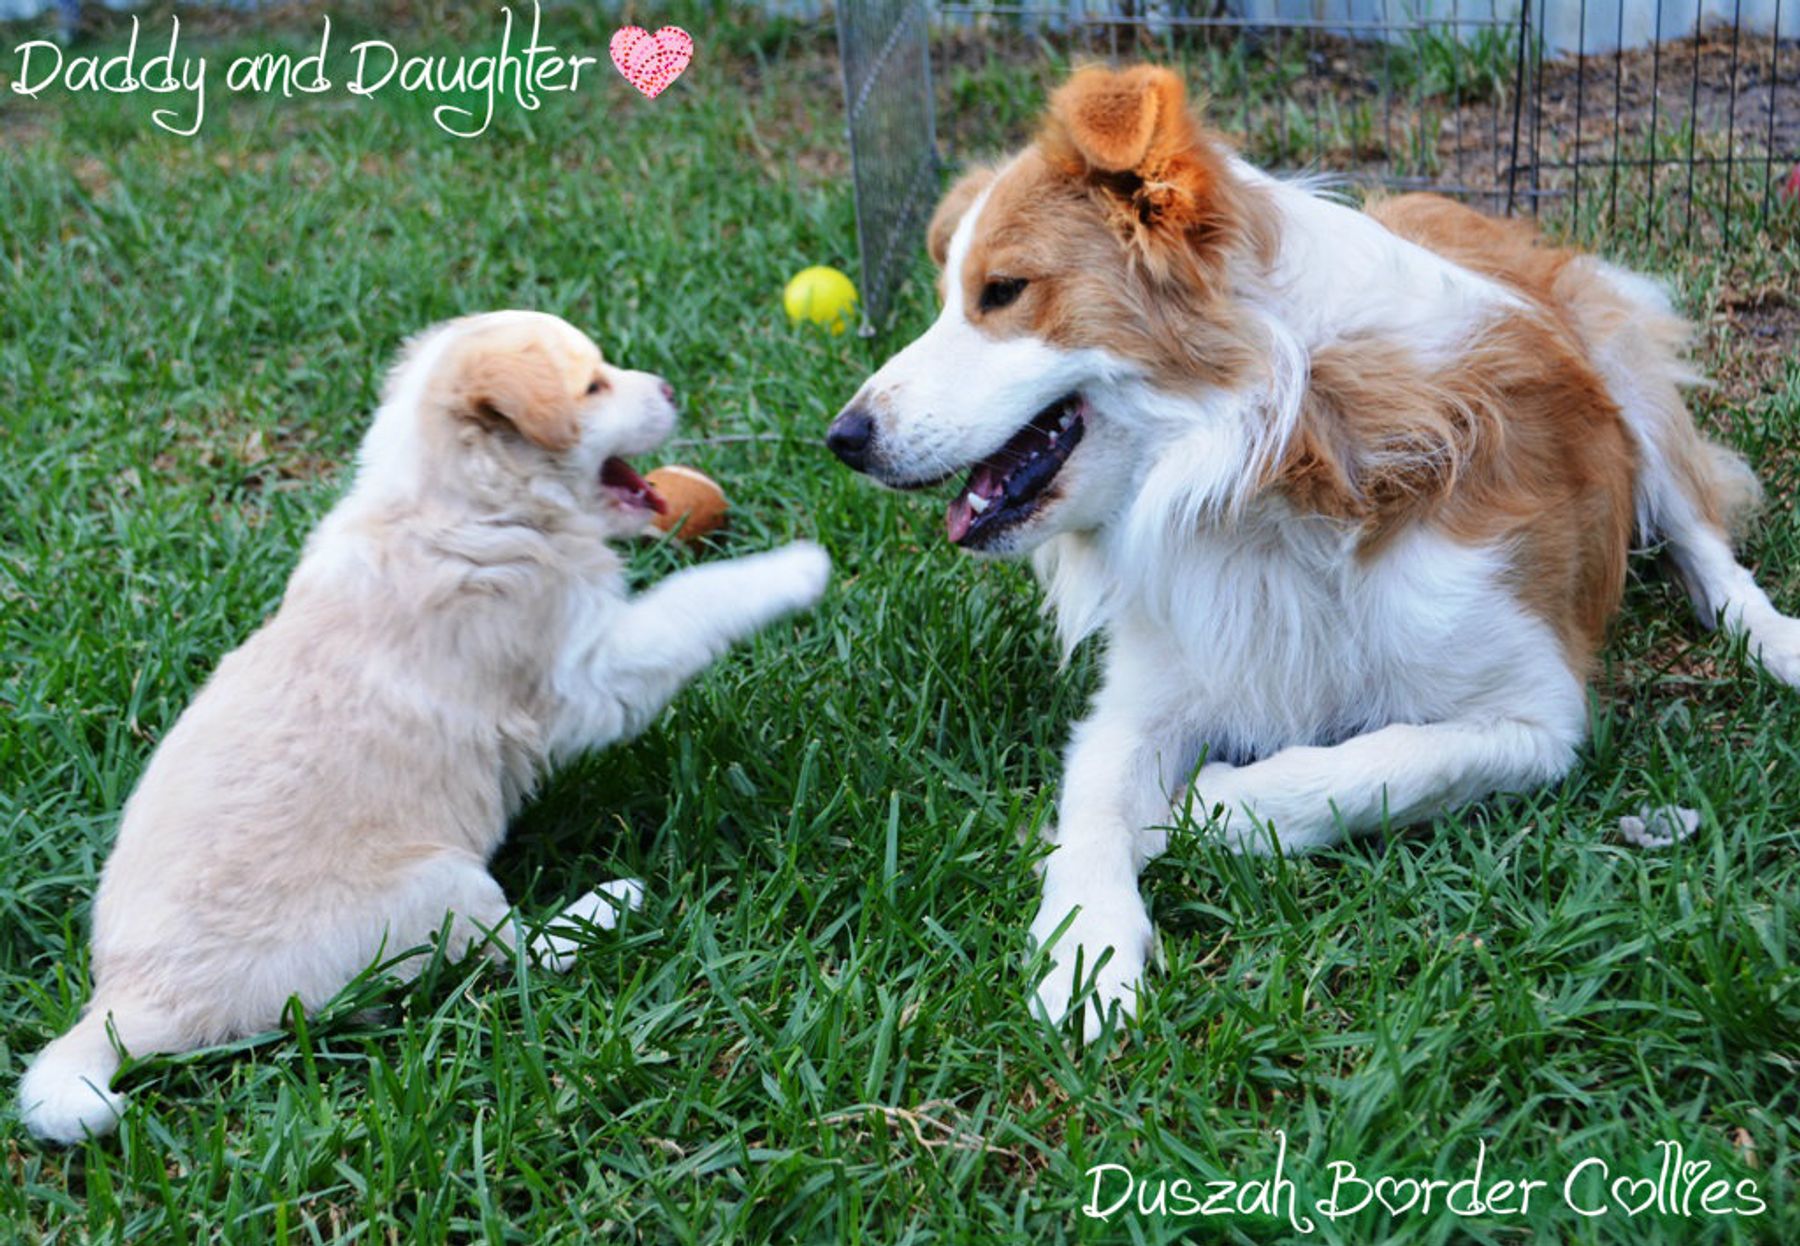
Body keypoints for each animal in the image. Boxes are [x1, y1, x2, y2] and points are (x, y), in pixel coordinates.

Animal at [21, 309, 835, 1137]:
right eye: (593, 386)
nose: (670, 388)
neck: (460, 503)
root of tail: (127, 1003)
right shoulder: (587, 671)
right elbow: (691, 600)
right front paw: (799, 567)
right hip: (437, 887)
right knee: (517, 955)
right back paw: (610, 902)